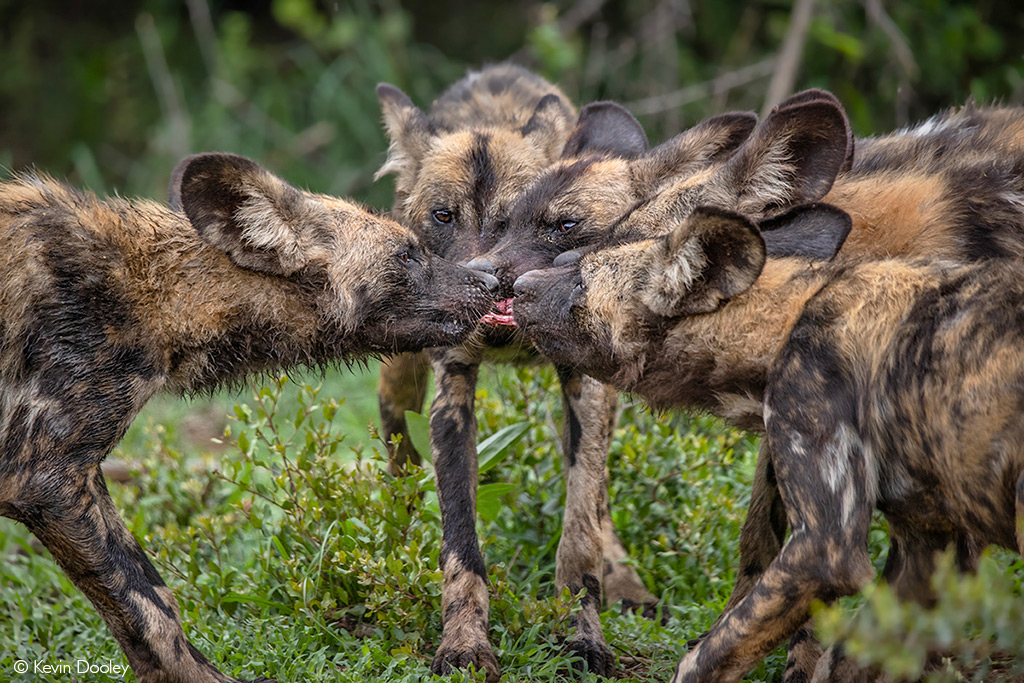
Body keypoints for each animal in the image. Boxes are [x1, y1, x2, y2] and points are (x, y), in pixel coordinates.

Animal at [0, 154, 495, 683]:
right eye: (406, 255)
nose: (491, 281)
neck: (149, 291)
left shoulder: (67, 478)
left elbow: (148, 606)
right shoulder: (47, 479)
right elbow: (150, 605)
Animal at [376, 62, 679, 679]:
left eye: (515, 221)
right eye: (443, 216)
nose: (482, 281)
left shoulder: (586, 388)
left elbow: (580, 533)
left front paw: (583, 637)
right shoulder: (452, 396)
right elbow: (460, 540)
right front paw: (464, 643)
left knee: (599, 502)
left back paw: (625, 582)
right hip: (399, 384)